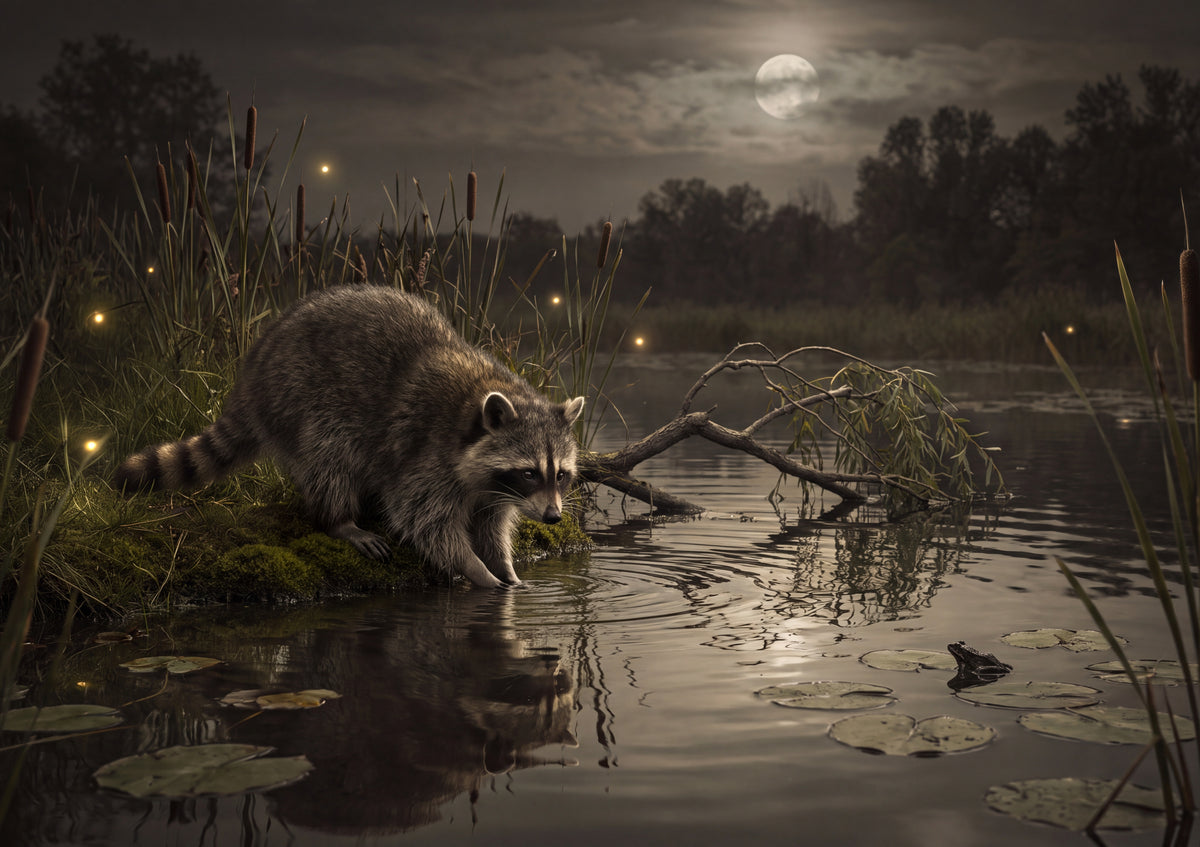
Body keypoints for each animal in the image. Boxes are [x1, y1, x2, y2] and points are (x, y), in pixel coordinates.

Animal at [114, 285, 585, 588]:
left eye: (560, 474)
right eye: (529, 472)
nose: (553, 517)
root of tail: (253, 373)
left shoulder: (492, 488)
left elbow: (490, 524)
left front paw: (504, 566)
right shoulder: (427, 455)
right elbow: (424, 520)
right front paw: (475, 570)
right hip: (301, 396)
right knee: (330, 458)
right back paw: (339, 520)